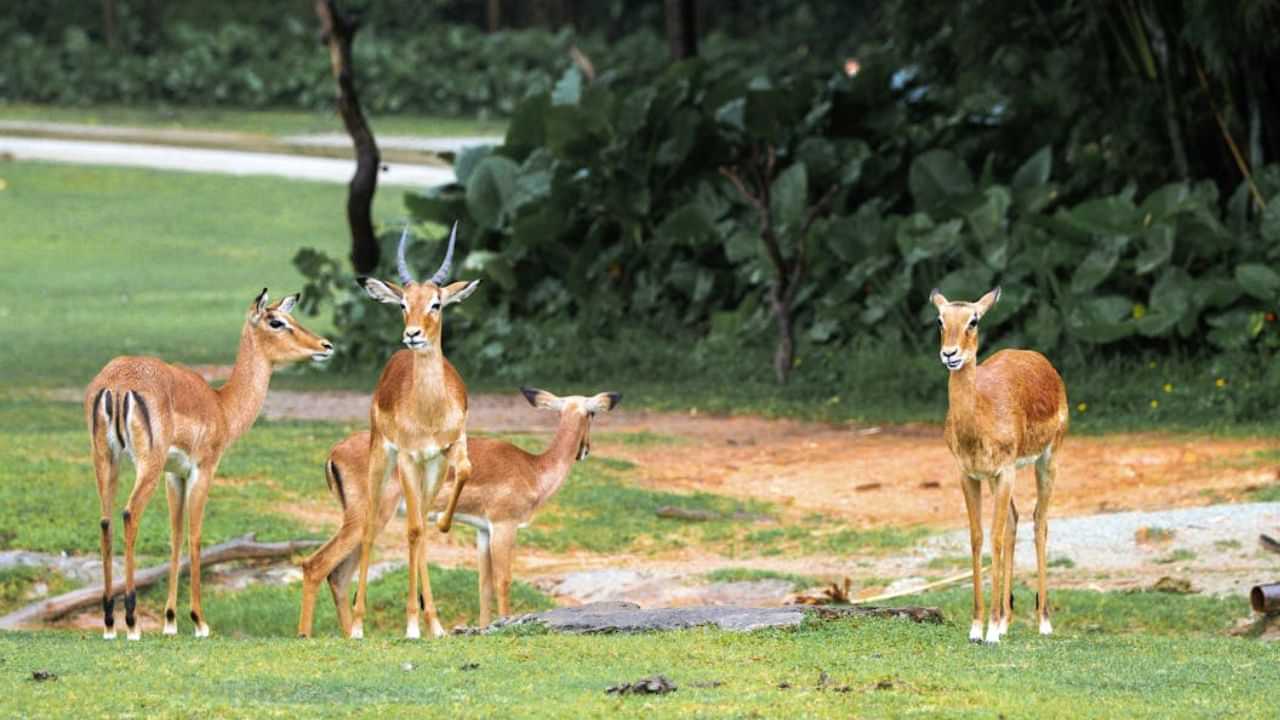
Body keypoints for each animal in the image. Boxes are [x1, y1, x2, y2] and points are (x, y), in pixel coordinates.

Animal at [85, 288, 332, 635]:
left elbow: (175, 537)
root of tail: (117, 385)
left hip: (106, 459)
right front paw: (199, 621)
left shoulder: (174, 475)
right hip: (145, 466)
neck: (221, 405)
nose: (325, 346)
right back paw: (131, 623)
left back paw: (109, 622)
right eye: (276, 321)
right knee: (129, 514)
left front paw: (170, 621)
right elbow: (196, 535)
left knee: (105, 520)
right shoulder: (203, 470)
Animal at [299, 386, 619, 632]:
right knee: (315, 565)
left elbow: (484, 585)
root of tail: (334, 452)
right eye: (592, 413)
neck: (534, 469)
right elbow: (503, 581)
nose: (585, 450)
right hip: (369, 518)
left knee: (338, 576)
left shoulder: (482, 531)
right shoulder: (504, 525)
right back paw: (306, 635)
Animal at [350, 224, 481, 638]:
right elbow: (411, 530)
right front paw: (410, 624)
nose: (413, 335)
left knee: (418, 522)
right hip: (383, 458)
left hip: (430, 470)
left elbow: (463, 474)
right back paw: (357, 625)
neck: (429, 412)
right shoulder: (408, 457)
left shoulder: (450, 448)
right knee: (372, 529)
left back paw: (433, 622)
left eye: (436, 303)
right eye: (403, 303)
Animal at [931, 286, 1070, 645]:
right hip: (998, 479)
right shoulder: (969, 474)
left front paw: (991, 631)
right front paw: (977, 628)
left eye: (973, 320)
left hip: (1048, 460)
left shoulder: (1005, 470)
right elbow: (977, 537)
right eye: (940, 320)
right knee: (1015, 520)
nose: (950, 354)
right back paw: (1008, 620)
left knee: (1039, 521)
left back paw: (1043, 622)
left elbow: (993, 537)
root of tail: (1040, 359)